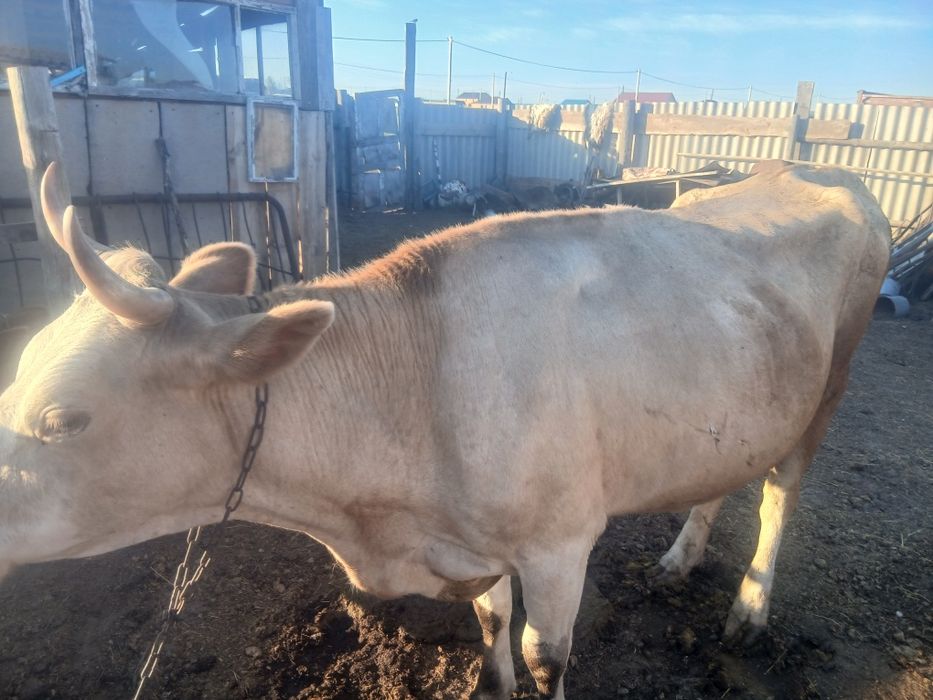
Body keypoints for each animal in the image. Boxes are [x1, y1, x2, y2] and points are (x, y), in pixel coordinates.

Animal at [0, 161, 889, 699]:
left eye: (62, 419)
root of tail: (811, 169)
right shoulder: (474, 542)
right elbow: (493, 631)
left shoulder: (560, 540)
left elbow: (542, 654)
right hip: (742, 396)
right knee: (728, 475)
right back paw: (679, 558)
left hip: (832, 381)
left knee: (779, 493)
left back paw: (750, 606)